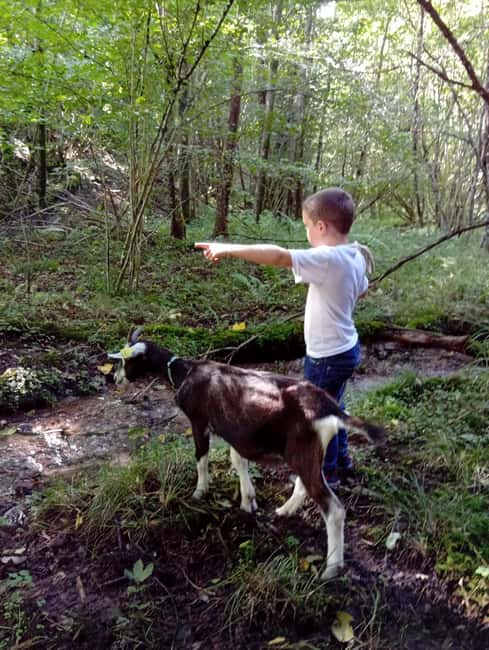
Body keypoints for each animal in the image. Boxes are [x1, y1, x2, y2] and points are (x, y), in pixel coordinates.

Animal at [108, 329, 385, 579]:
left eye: (124, 360)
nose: (114, 378)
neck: (184, 373)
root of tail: (329, 408)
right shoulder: (234, 429)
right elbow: (238, 460)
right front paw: (247, 501)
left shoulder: (199, 421)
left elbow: (201, 456)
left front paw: (199, 492)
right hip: (309, 452)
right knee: (308, 484)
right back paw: (284, 511)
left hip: (302, 451)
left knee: (333, 509)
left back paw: (331, 568)